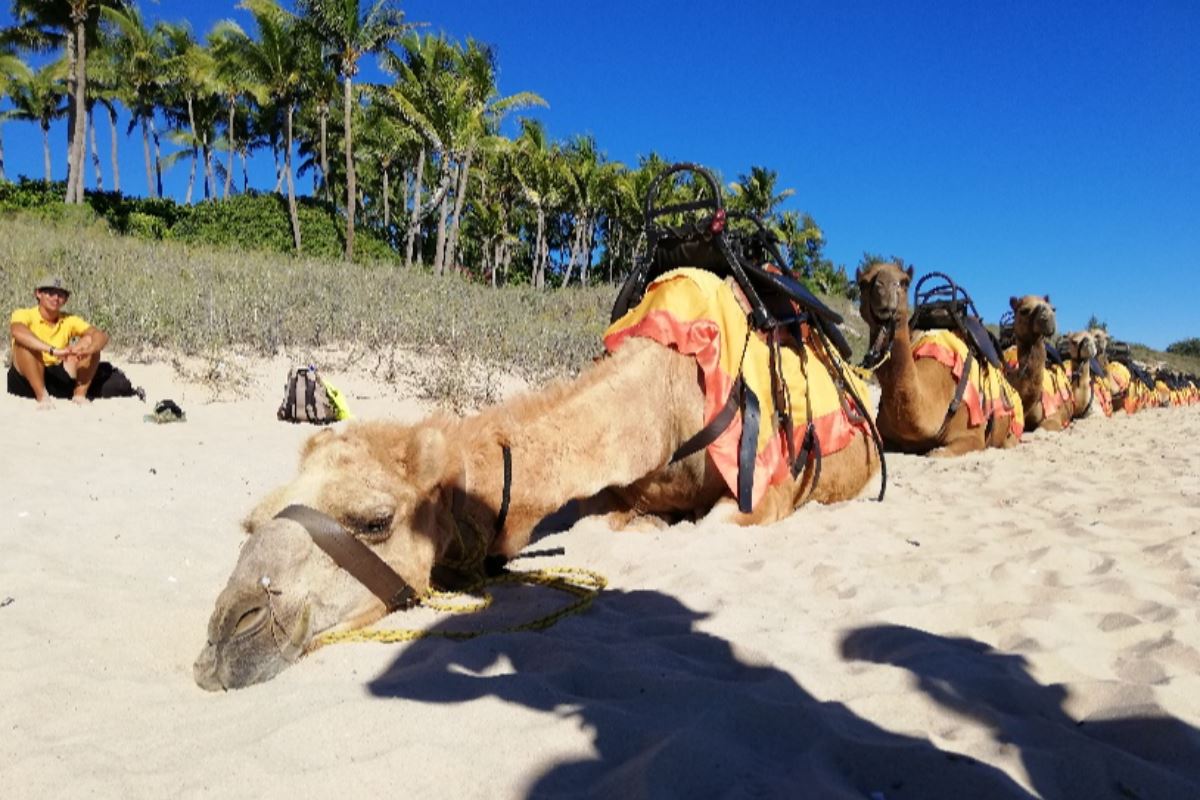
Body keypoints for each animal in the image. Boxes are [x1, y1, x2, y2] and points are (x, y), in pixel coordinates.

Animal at [195, 292, 880, 690]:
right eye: (252, 520)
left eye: (374, 521)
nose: (228, 631)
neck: (665, 402)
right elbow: (605, 519)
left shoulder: (765, 496)